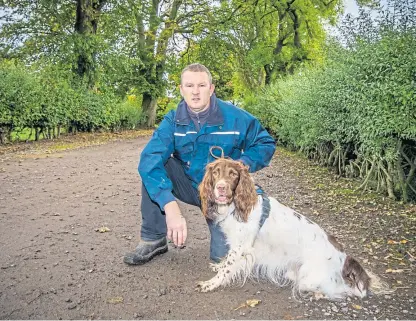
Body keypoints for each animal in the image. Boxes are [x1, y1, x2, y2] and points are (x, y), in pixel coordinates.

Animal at [195, 158, 386, 300]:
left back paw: (319, 294)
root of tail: (343, 257)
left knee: (344, 290)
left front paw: (210, 284)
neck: (236, 206)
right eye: (215, 172)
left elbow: (227, 268)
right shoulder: (237, 245)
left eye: (233, 174)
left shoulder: (241, 246)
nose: (220, 188)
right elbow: (226, 262)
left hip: (310, 278)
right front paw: (217, 266)